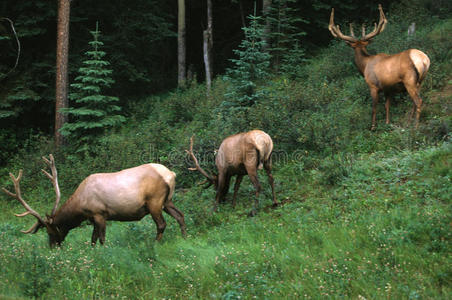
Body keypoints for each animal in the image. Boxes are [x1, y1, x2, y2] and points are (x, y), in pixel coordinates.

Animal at [2, 155, 186, 246]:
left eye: (50, 231)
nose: (52, 247)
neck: (80, 207)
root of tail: (171, 174)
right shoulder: (92, 217)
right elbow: (92, 239)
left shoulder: (100, 213)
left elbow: (101, 239)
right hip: (167, 201)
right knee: (180, 216)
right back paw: (185, 237)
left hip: (154, 201)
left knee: (161, 224)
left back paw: (155, 244)